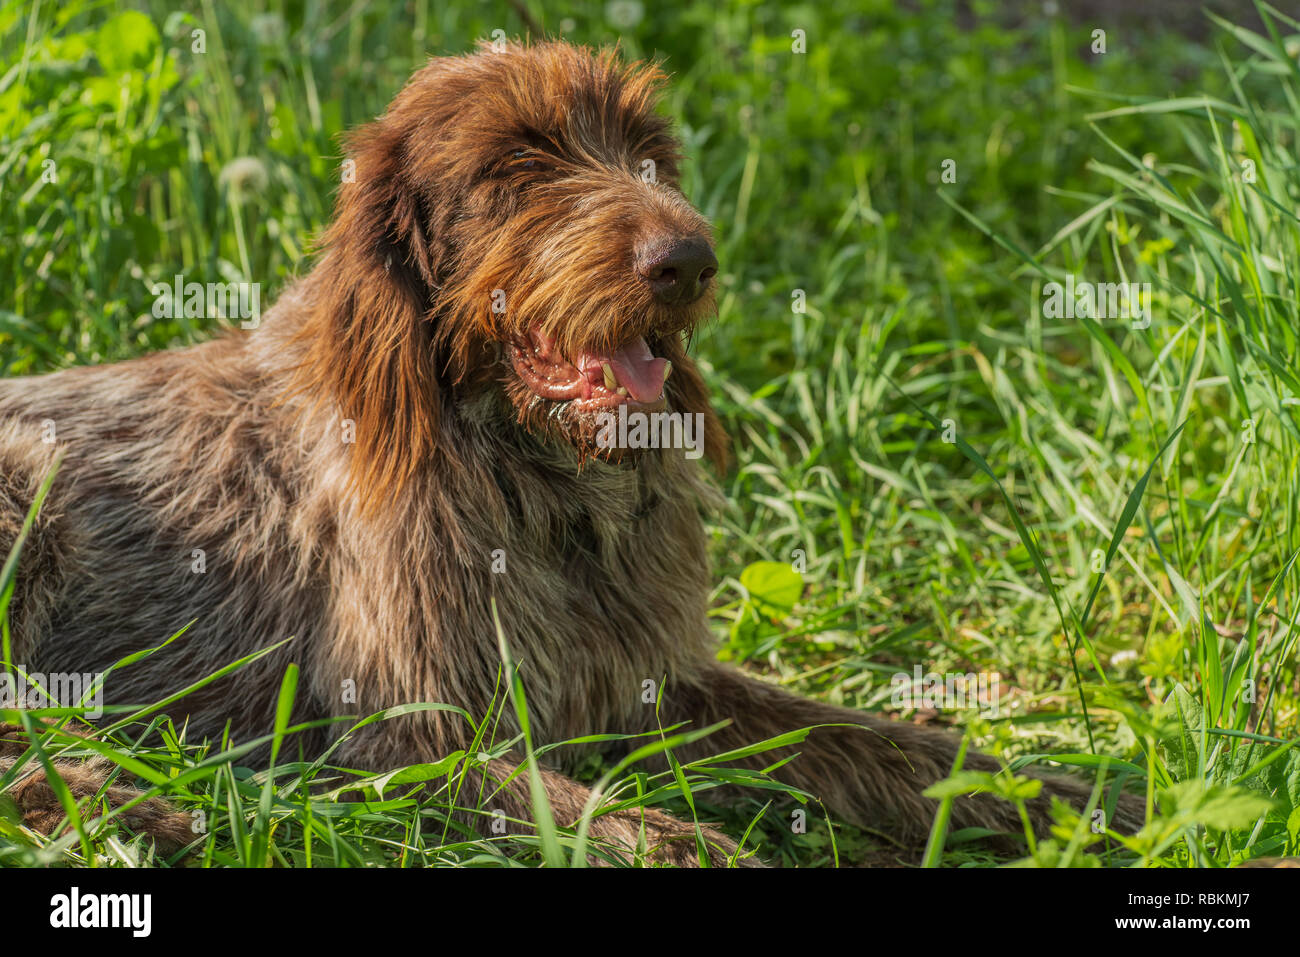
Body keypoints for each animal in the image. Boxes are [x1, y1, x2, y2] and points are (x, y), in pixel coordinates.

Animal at [0, 41, 1133, 863]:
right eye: (516, 167)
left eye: (648, 154)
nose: (688, 260)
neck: (542, 487)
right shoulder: (402, 740)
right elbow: (611, 821)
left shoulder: (654, 684)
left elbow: (879, 743)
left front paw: (1064, 797)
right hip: (28, 491)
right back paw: (136, 805)